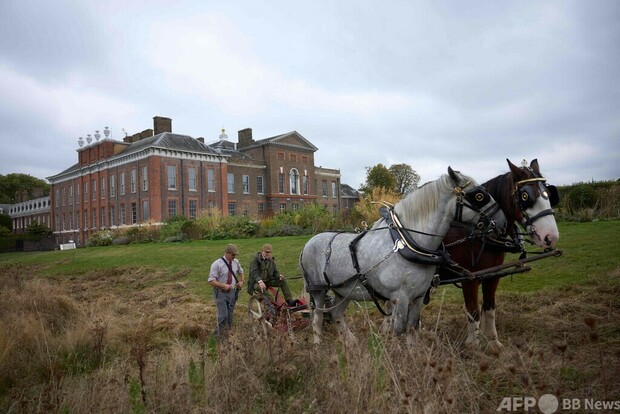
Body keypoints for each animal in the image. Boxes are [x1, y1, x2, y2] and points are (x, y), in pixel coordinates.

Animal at [438, 160, 560, 348]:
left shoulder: (493, 275)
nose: (550, 236)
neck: (482, 234)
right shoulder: (469, 278)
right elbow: (473, 311)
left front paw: (493, 342)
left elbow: (489, 307)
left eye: (549, 193)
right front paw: (473, 345)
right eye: (525, 196)